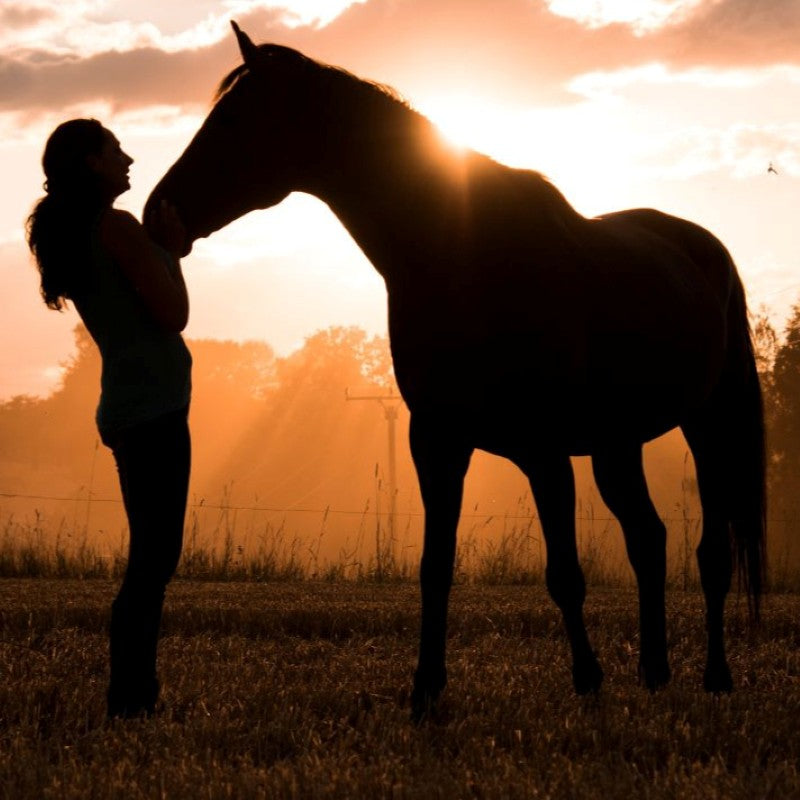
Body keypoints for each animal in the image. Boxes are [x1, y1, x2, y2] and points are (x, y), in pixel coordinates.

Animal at [146, 22, 766, 717]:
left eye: (236, 120)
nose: (157, 210)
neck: (463, 256)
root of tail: (703, 248)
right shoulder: (436, 441)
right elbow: (435, 567)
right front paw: (425, 690)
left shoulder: (543, 449)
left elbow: (565, 574)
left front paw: (586, 679)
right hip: (616, 445)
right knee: (649, 540)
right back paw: (655, 670)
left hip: (709, 426)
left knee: (712, 553)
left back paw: (715, 675)